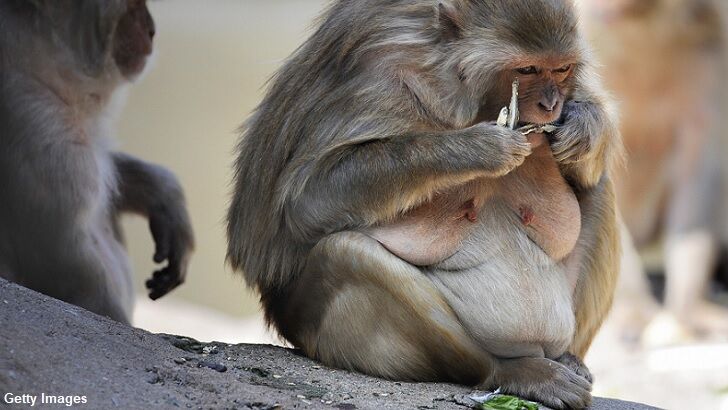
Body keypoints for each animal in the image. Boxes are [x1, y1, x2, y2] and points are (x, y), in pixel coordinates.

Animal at [227, 1, 621, 408]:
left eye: (562, 69)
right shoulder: (378, 72)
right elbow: (305, 202)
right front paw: (476, 148)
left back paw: (565, 359)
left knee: (598, 187)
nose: (551, 104)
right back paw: (510, 371)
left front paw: (584, 126)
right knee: (346, 253)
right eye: (526, 69)